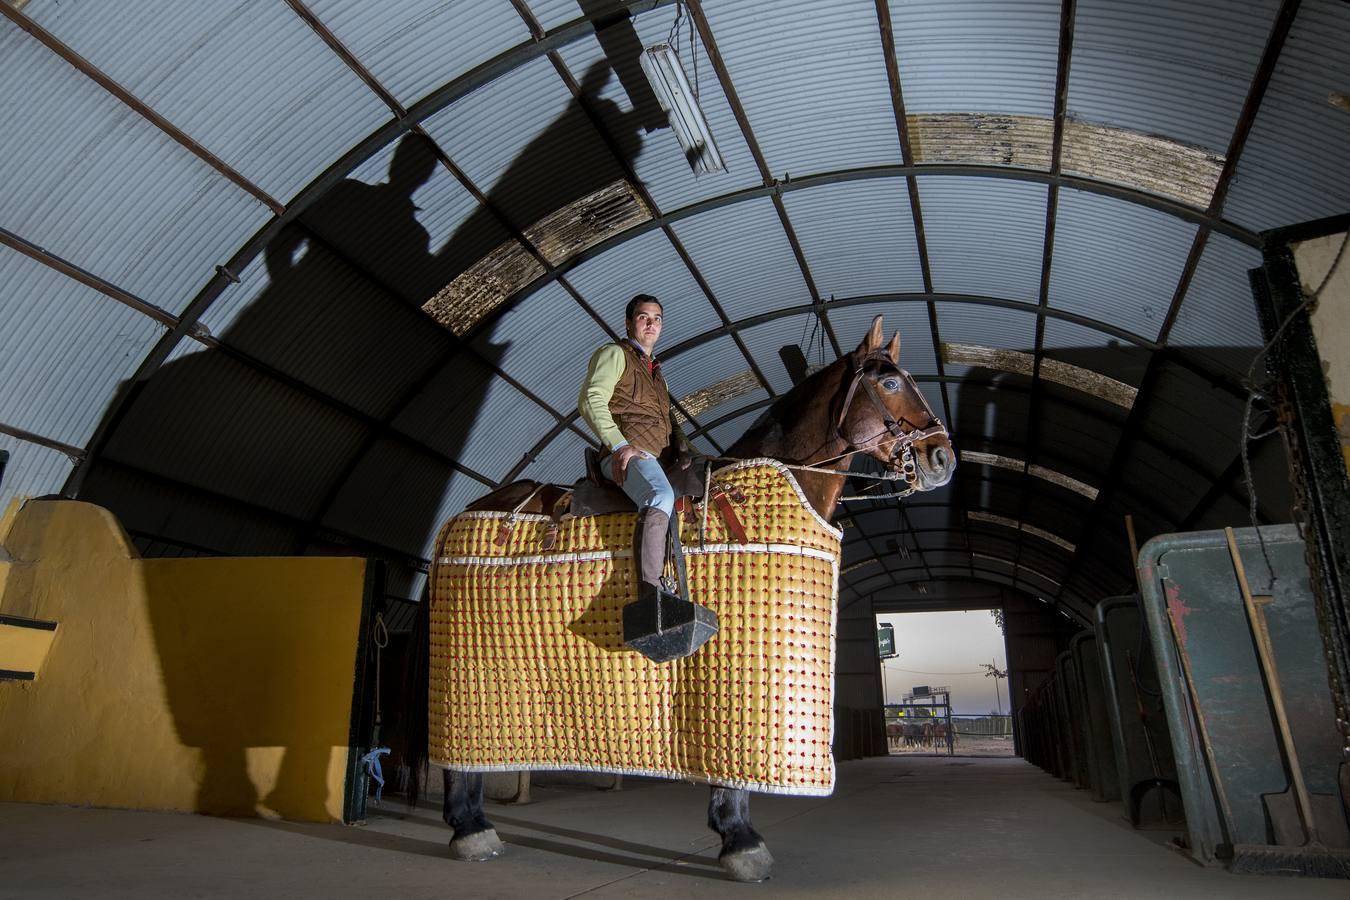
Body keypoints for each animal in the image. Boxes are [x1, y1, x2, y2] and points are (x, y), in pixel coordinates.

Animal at [399, 317, 950, 879]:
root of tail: (457, 519)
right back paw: (471, 830)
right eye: (890, 382)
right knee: (459, 759)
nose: (941, 458)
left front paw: (733, 833)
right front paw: (741, 841)